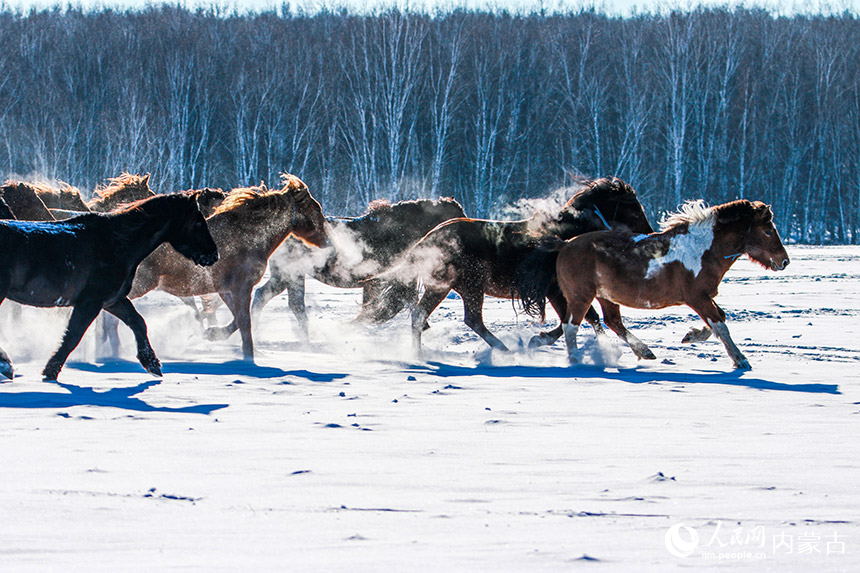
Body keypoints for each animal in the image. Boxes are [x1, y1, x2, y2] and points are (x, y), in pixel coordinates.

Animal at [0, 192, 218, 380]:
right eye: (198, 222)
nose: (214, 255)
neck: (117, 241)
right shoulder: (90, 302)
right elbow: (73, 336)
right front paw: (50, 372)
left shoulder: (112, 301)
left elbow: (138, 322)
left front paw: (152, 364)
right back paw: (7, 366)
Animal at [124, 175, 330, 362]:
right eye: (315, 208)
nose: (327, 240)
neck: (247, 238)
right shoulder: (241, 287)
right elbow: (244, 322)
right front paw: (248, 358)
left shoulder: (226, 289)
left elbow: (236, 320)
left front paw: (212, 334)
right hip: (141, 284)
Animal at [372, 177, 656, 354]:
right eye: (633, 209)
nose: (650, 233)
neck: (567, 233)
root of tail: (428, 238)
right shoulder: (554, 290)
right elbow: (577, 319)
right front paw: (538, 340)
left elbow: (587, 318)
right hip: (464, 285)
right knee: (463, 318)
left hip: (451, 287)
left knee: (431, 316)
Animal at [536, 199, 788, 368]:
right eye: (768, 231)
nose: (784, 261)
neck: (703, 250)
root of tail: (565, 244)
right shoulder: (697, 298)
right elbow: (720, 325)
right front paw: (740, 360)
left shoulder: (705, 296)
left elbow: (719, 319)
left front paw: (691, 336)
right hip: (581, 296)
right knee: (571, 326)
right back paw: (576, 360)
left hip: (605, 295)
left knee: (612, 321)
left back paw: (644, 352)